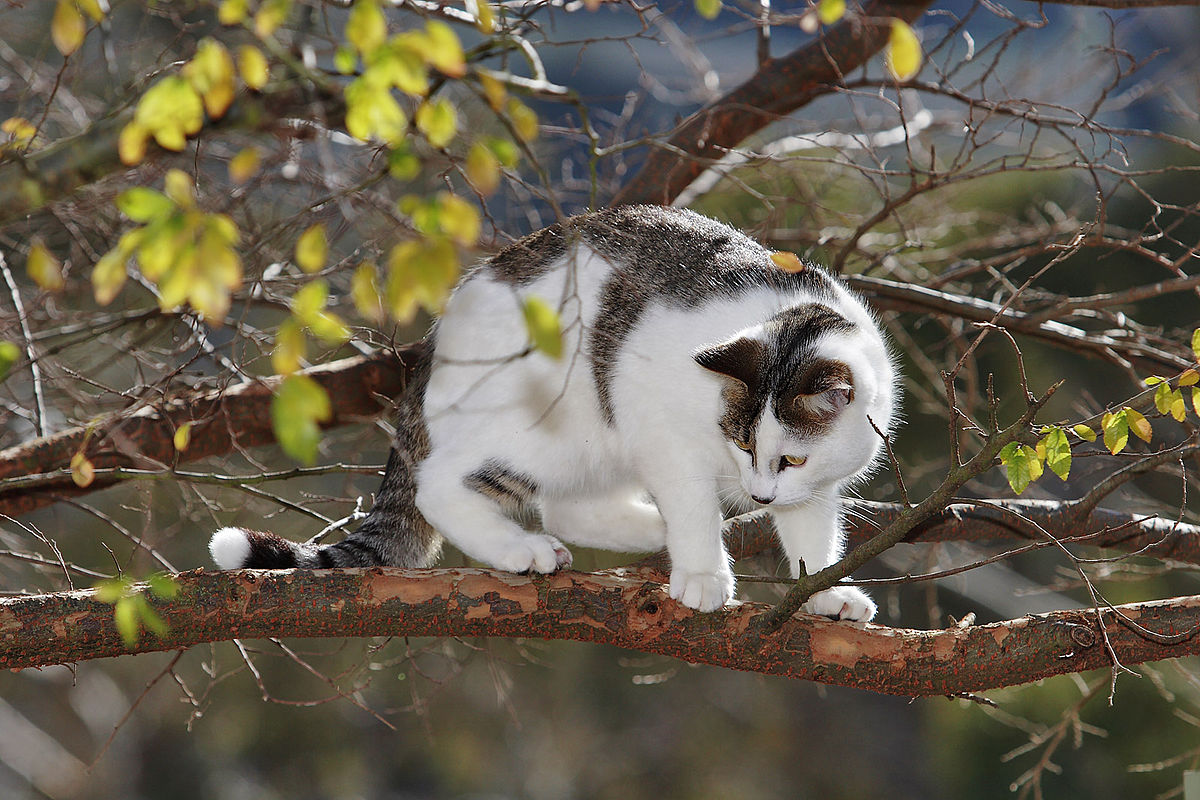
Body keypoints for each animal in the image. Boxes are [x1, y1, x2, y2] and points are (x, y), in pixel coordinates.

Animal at [208, 205, 902, 618]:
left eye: (790, 459)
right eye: (743, 443)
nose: (759, 495)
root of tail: (433, 347)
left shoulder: (813, 489)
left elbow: (812, 536)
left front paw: (827, 593)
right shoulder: (662, 432)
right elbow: (692, 504)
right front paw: (705, 573)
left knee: (568, 507)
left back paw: (651, 531)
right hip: (551, 426)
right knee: (443, 487)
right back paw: (526, 549)